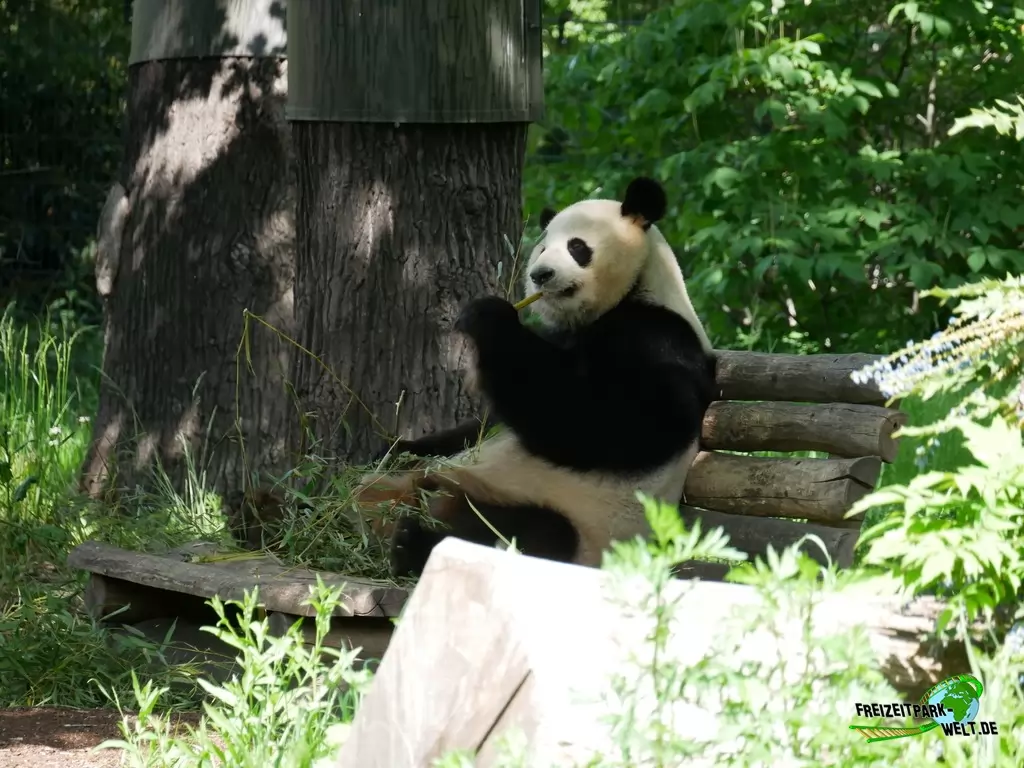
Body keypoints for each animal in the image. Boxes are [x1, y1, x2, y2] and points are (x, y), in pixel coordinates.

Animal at [355, 176, 717, 577]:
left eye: (577, 247)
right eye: (542, 246)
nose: (540, 275)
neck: (632, 293)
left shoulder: (658, 339)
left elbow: (604, 424)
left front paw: (489, 316)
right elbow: (493, 416)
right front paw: (395, 447)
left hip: (570, 521)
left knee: (525, 532)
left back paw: (412, 542)